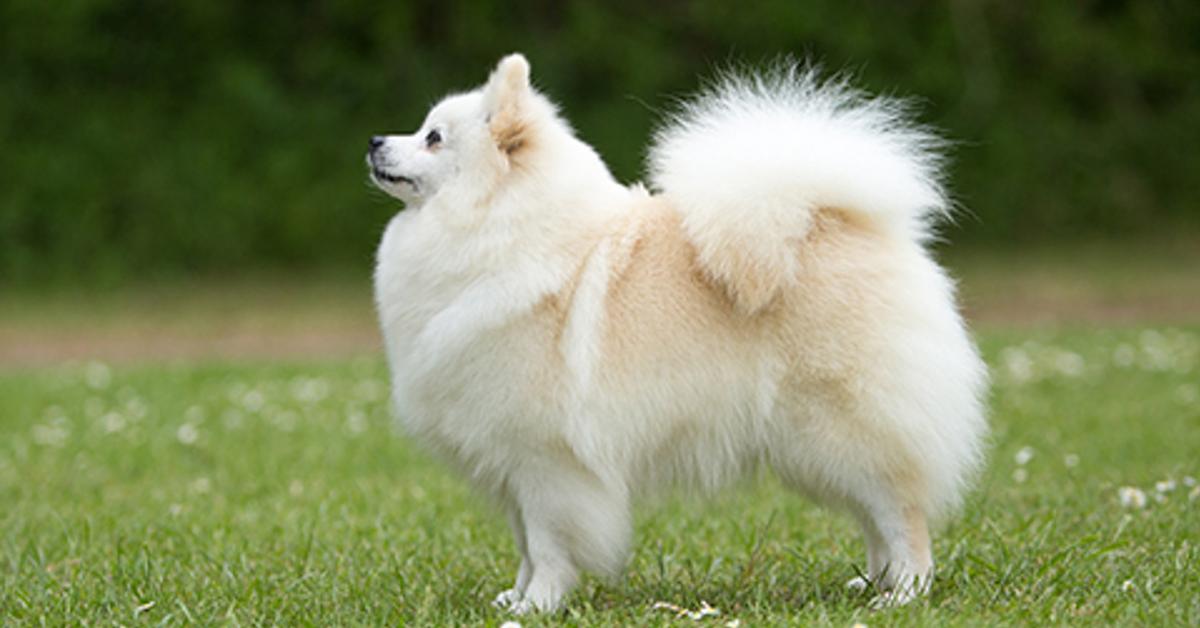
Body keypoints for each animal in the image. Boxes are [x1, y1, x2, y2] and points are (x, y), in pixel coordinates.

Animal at [369, 54, 988, 614]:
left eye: (433, 138)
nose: (375, 140)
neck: (502, 232)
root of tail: (845, 223)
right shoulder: (513, 464)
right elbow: (524, 544)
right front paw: (516, 598)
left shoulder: (546, 461)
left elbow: (546, 545)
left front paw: (538, 606)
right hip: (821, 449)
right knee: (874, 519)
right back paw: (872, 584)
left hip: (845, 432)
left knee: (900, 514)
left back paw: (904, 593)